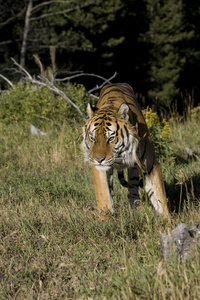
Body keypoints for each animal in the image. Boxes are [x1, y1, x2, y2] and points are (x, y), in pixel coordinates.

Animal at [82, 83, 170, 219]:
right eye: (92, 138)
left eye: (111, 138)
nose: (98, 159)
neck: (120, 154)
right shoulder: (99, 170)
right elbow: (104, 197)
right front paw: (106, 220)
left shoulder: (150, 165)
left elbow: (159, 196)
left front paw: (167, 221)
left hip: (134, 170)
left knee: (132, 190)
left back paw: (134, 211)